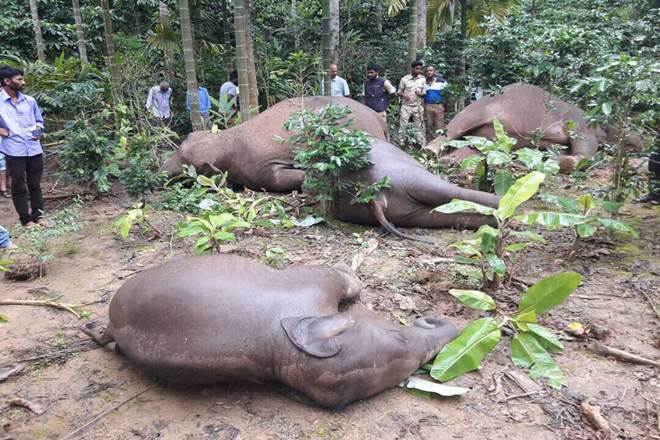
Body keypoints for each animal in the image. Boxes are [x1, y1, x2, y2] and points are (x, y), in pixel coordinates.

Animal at [160, 96, 388, 192]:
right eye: (183, 142)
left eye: (189, 167)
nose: (160, 172)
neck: (227, 140)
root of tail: (378, 119)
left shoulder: (264, 167)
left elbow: (284, 179)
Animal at [425, 83, 642, 173]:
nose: (641, 141)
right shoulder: (580, 124)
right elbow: (583, 154)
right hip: (478, 108)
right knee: (456, 126)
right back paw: (430, 151)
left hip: (482, 139)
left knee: (472, 148)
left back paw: (449, 160)